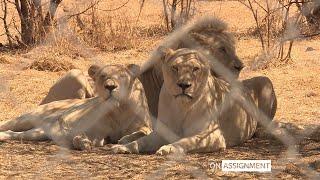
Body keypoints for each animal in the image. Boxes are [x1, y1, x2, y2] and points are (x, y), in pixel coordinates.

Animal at [0, 64, 152, 150]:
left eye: (122, 76)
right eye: (103, 76)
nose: (110, 87)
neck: (118, 110)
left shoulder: (144, 126)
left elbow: (142, 132)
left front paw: (124, 139)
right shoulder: (84, 127)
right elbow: (77, 135)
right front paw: (83, 142)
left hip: (39, 132)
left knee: (15, 134)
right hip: (26, 119)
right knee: (7, 125)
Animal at [111, 47, 258, 155]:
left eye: (195, 69)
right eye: (175, 68)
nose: (183, 85)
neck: (181, 107)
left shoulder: (214, 135)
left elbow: (188, 140)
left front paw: (168, 148)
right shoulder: (162, 132)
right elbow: (143, 141)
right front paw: (126, 147)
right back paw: (124, 140)